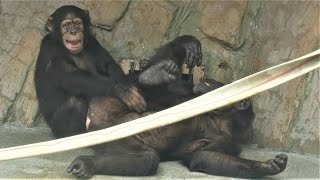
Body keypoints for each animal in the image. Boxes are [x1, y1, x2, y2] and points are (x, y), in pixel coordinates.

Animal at [34, 5, 288, 179]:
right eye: (67, 25)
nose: (207, 81)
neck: (218, 118)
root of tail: (95, 119)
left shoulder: (228, 142)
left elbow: (203, 157)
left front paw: (267, 166)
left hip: (108, 133)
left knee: (145, 158)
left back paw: (88, 163)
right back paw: (159, 68)